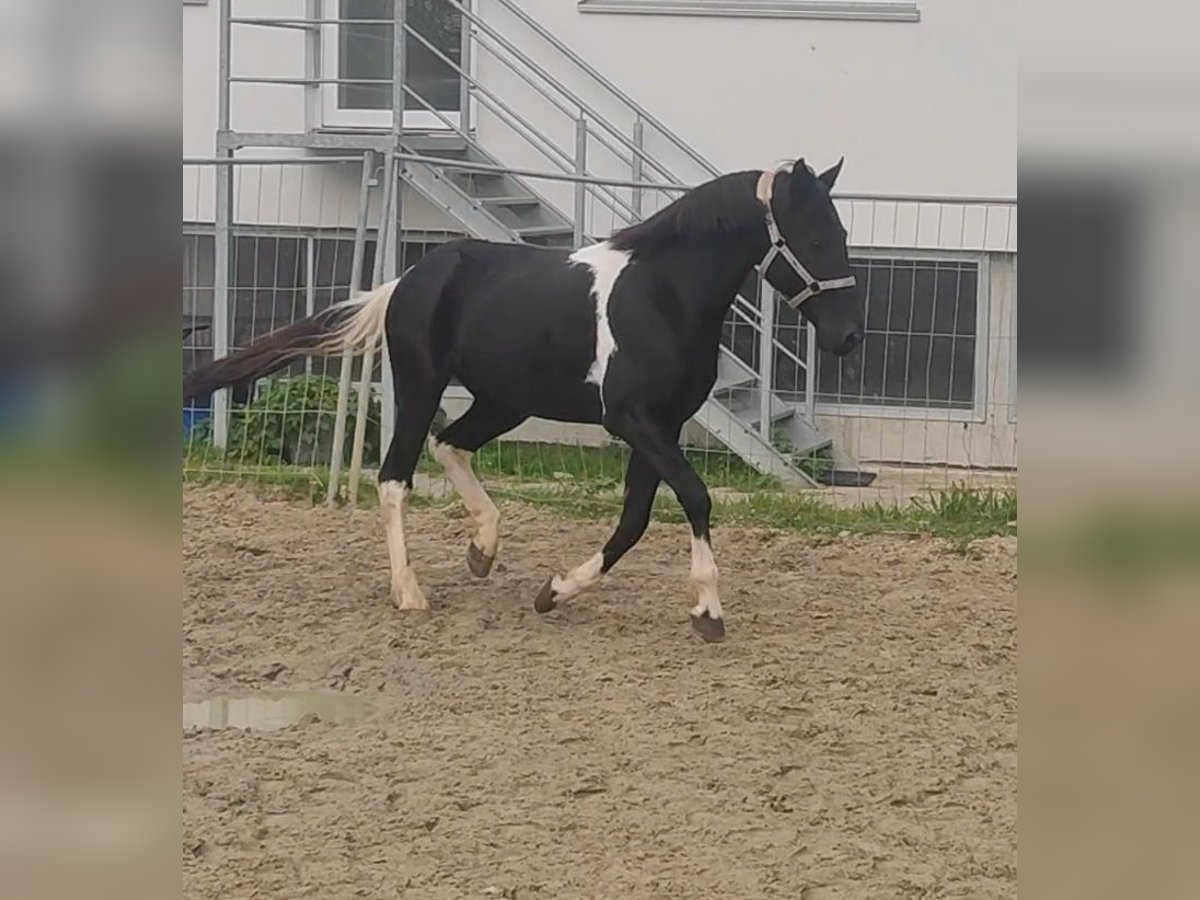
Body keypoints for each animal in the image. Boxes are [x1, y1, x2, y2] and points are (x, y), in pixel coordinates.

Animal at [184, 158, 864, 643]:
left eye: (841, 233)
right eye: (813, 236)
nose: (848, 337)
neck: (661, 295)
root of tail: (406, 280)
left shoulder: (660, 426)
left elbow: (634, 520)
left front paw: (554, 591)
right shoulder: (633, 419)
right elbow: (694, 497)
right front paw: (709, 610)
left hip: (505, 400)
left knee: (449, 445)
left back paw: (482, 549)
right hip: (422, 385)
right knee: (395, 476)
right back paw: (410, 592)